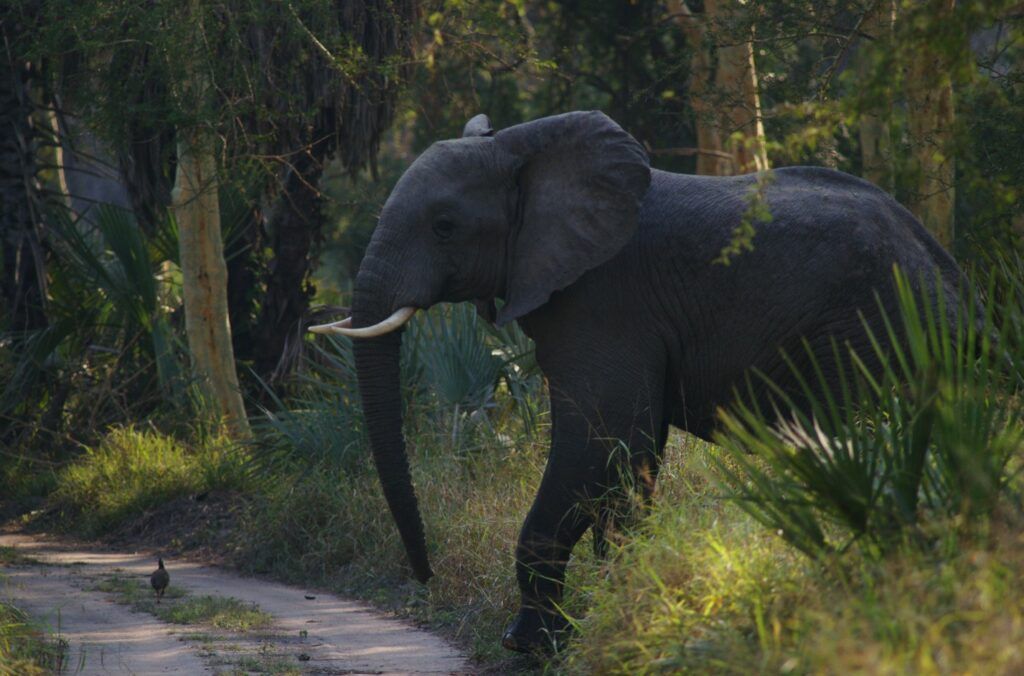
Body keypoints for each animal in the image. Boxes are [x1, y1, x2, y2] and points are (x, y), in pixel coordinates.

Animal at [309, 111, 964, 653]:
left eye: (445, 226)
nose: (424, 576)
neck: (523, 147)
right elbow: (630, 454)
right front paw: (617, 591)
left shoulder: (602, 296)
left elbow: (600, 435)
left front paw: (530, 646)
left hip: (871, 334)